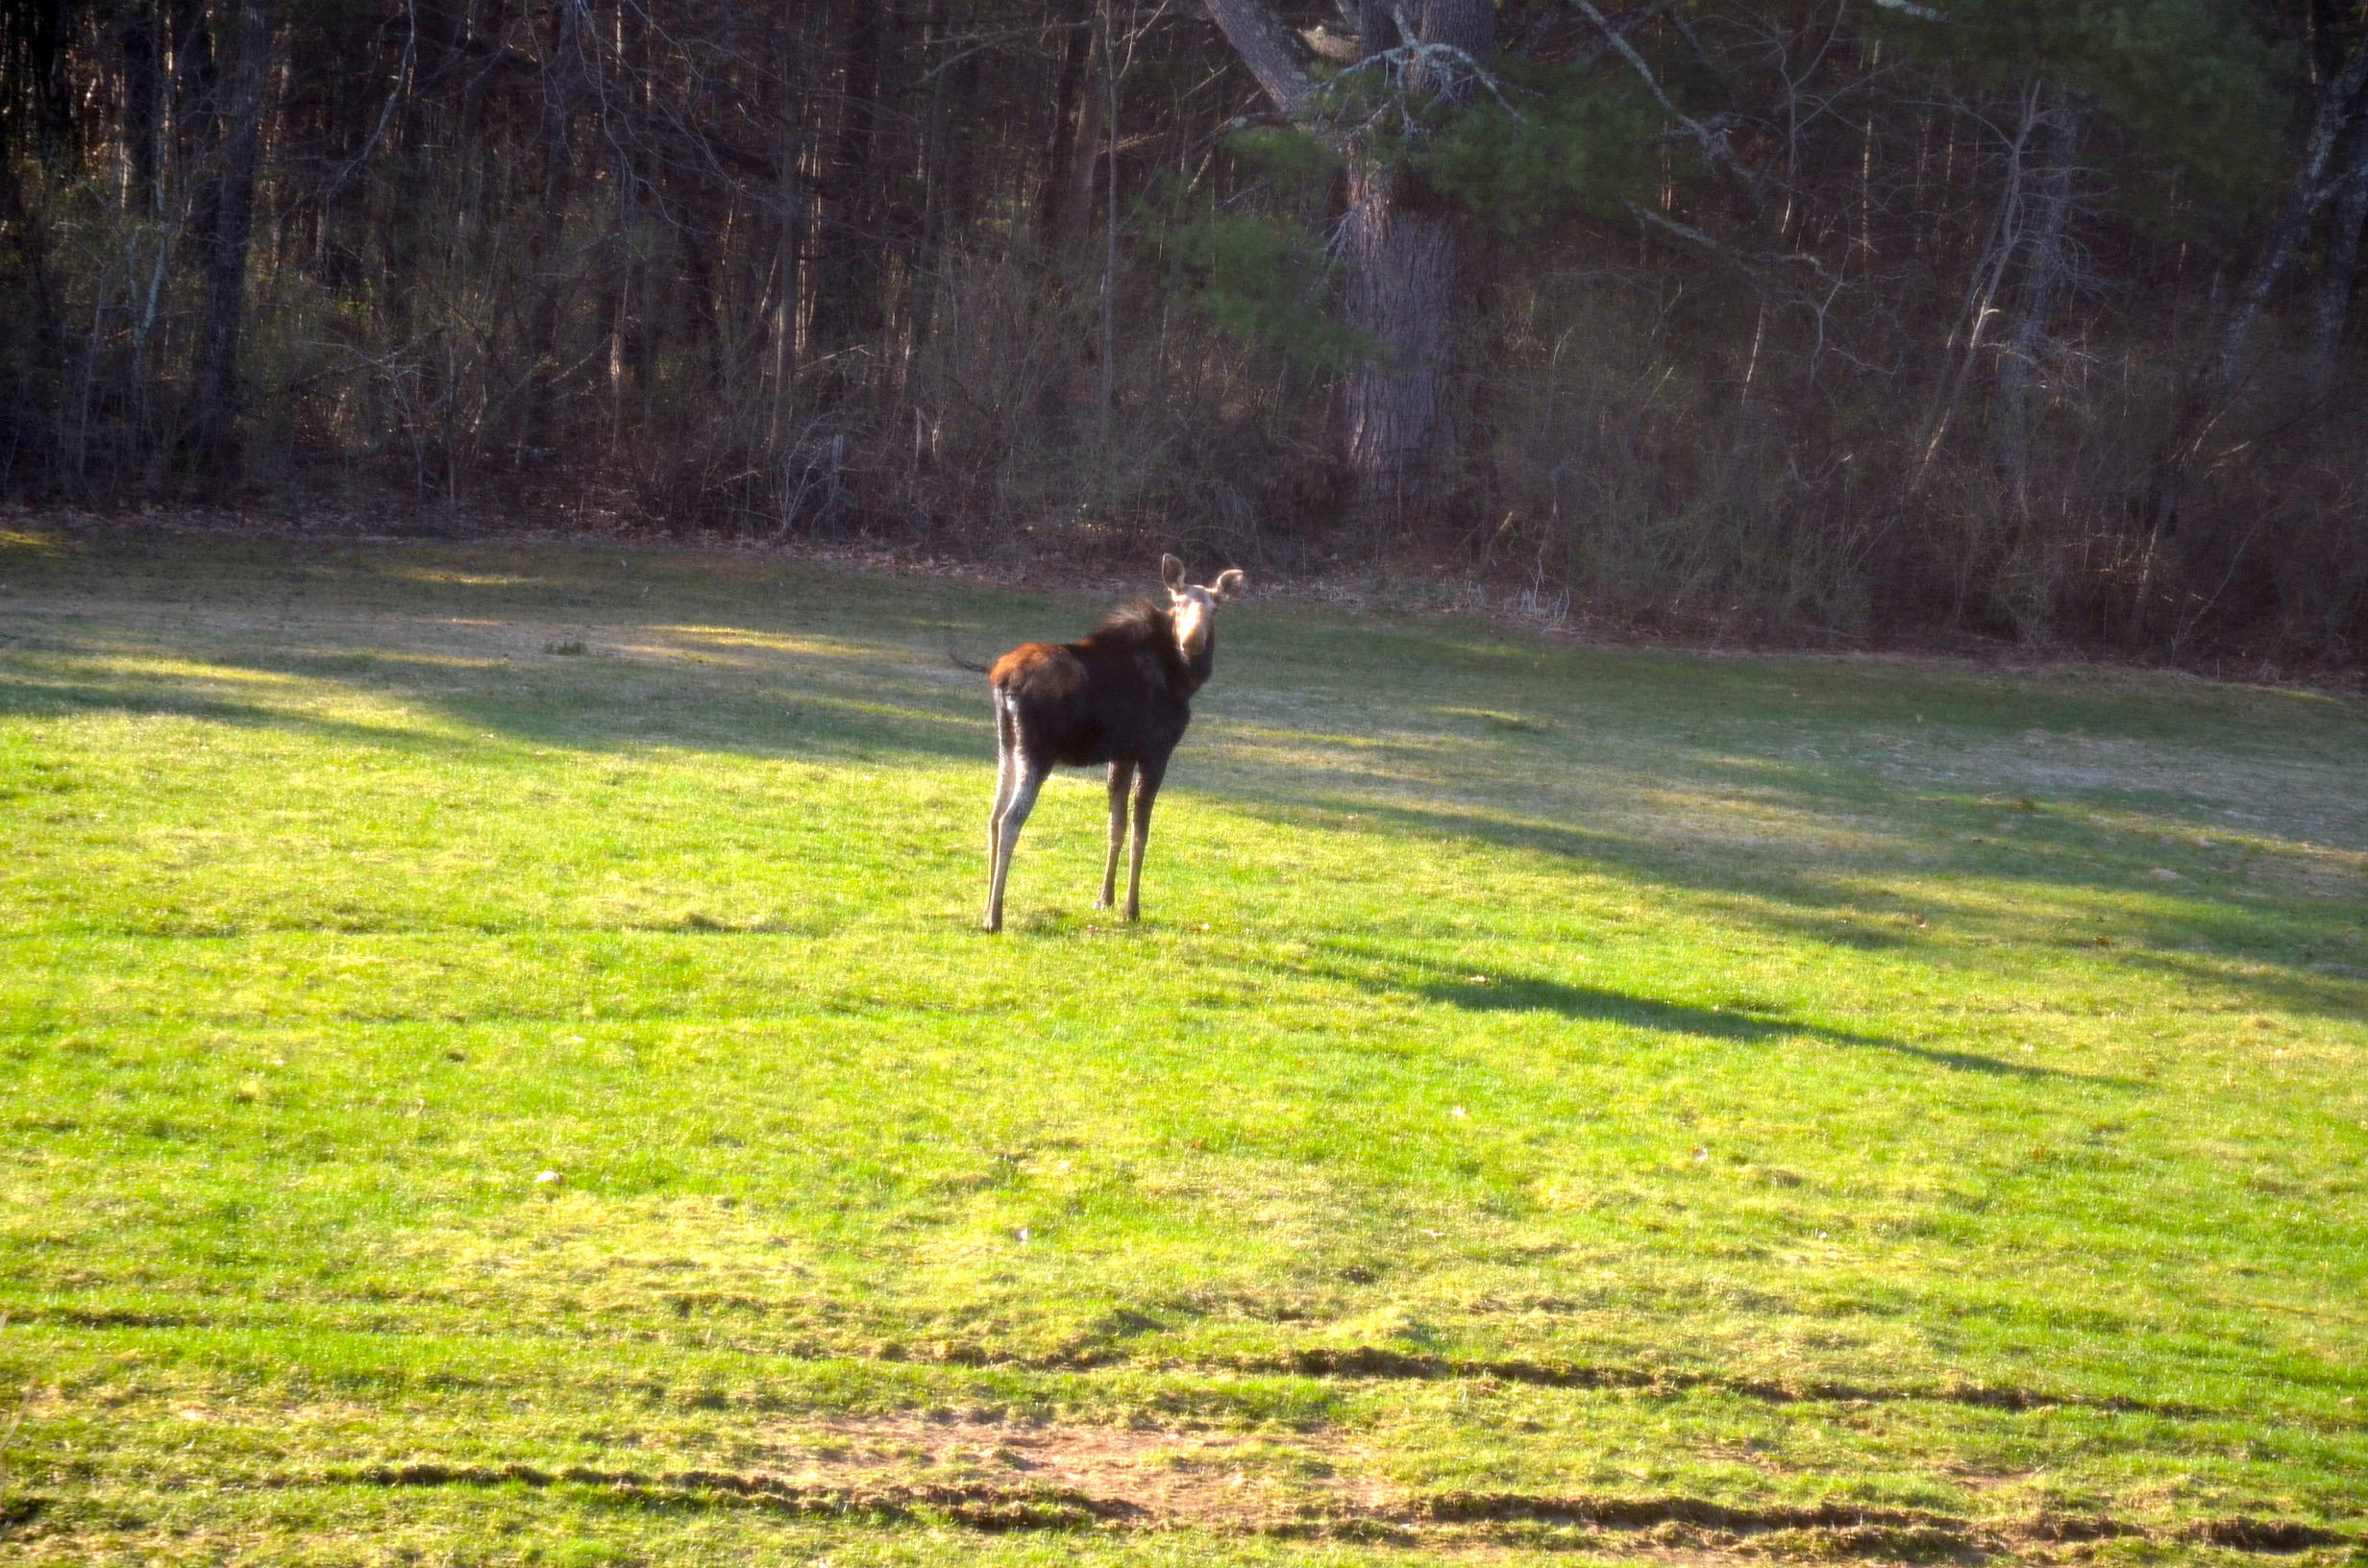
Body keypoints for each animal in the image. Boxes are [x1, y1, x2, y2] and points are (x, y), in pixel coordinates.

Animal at [981, 555, 1246, 933]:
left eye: (1215, 608)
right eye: (1179, 603)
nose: (1193, 642)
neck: (1184, 680)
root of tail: (1001, 679)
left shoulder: (1121, 755)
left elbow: (1116, 826)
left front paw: (1104, 899)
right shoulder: (1155, 751)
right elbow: (1140, 832)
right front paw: (1131, 908)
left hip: (1008, 745)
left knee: (992, 815)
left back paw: (986, 906)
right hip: (1037, 753)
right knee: (1010, 820)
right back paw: (995, 916)